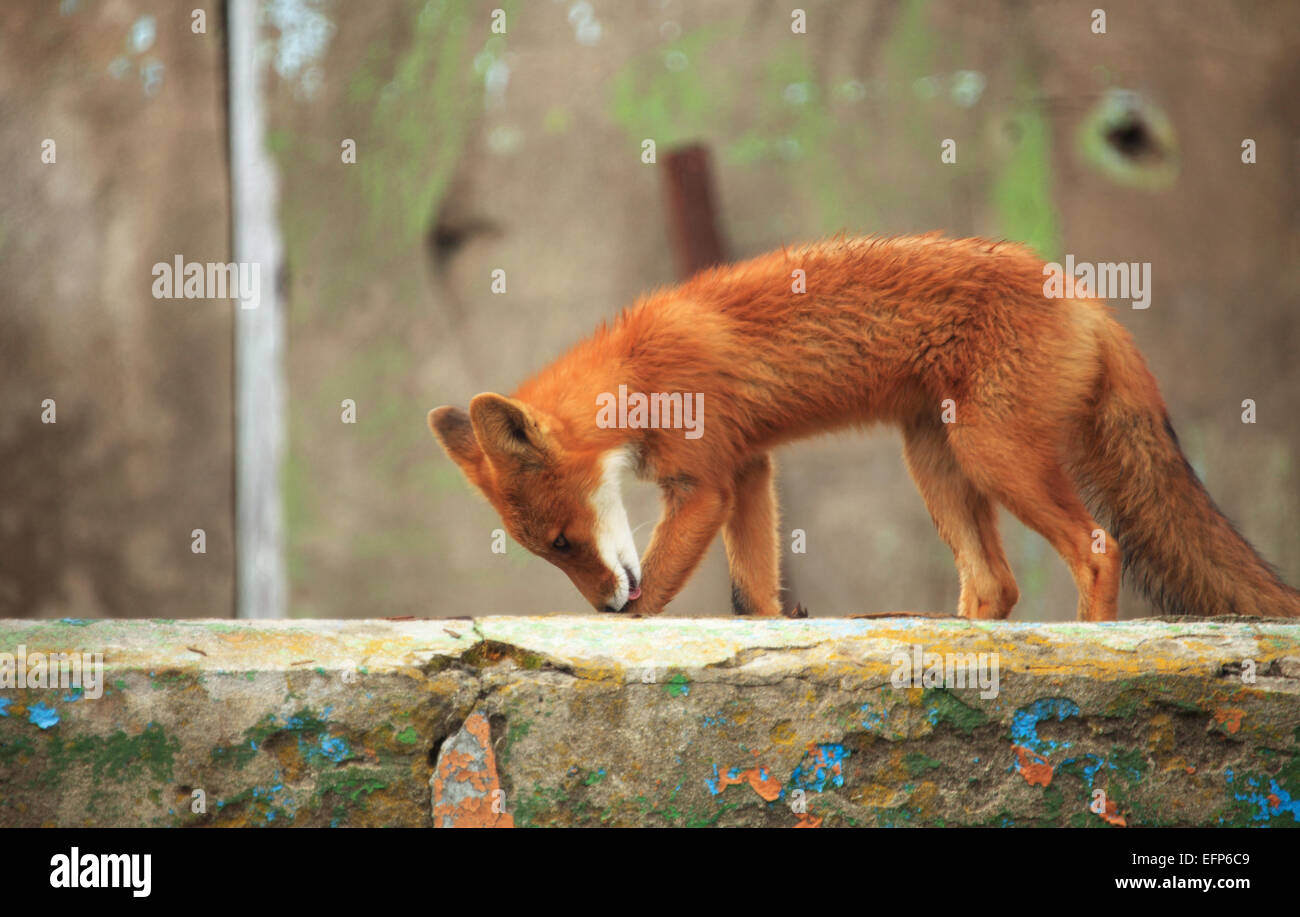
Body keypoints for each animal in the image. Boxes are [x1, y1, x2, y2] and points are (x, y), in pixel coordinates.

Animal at [428, 234, 1300, 621]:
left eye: (563, 541)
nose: (601, 607)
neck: (638, 373)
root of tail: (1085, 293)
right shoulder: (749, 470)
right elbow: (754, 596)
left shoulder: (705, 482)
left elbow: (663, 600)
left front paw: (627, 632)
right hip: (936, 460)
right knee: (996, 584)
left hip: (995, 455)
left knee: (1098, 549)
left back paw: (1089, 646)